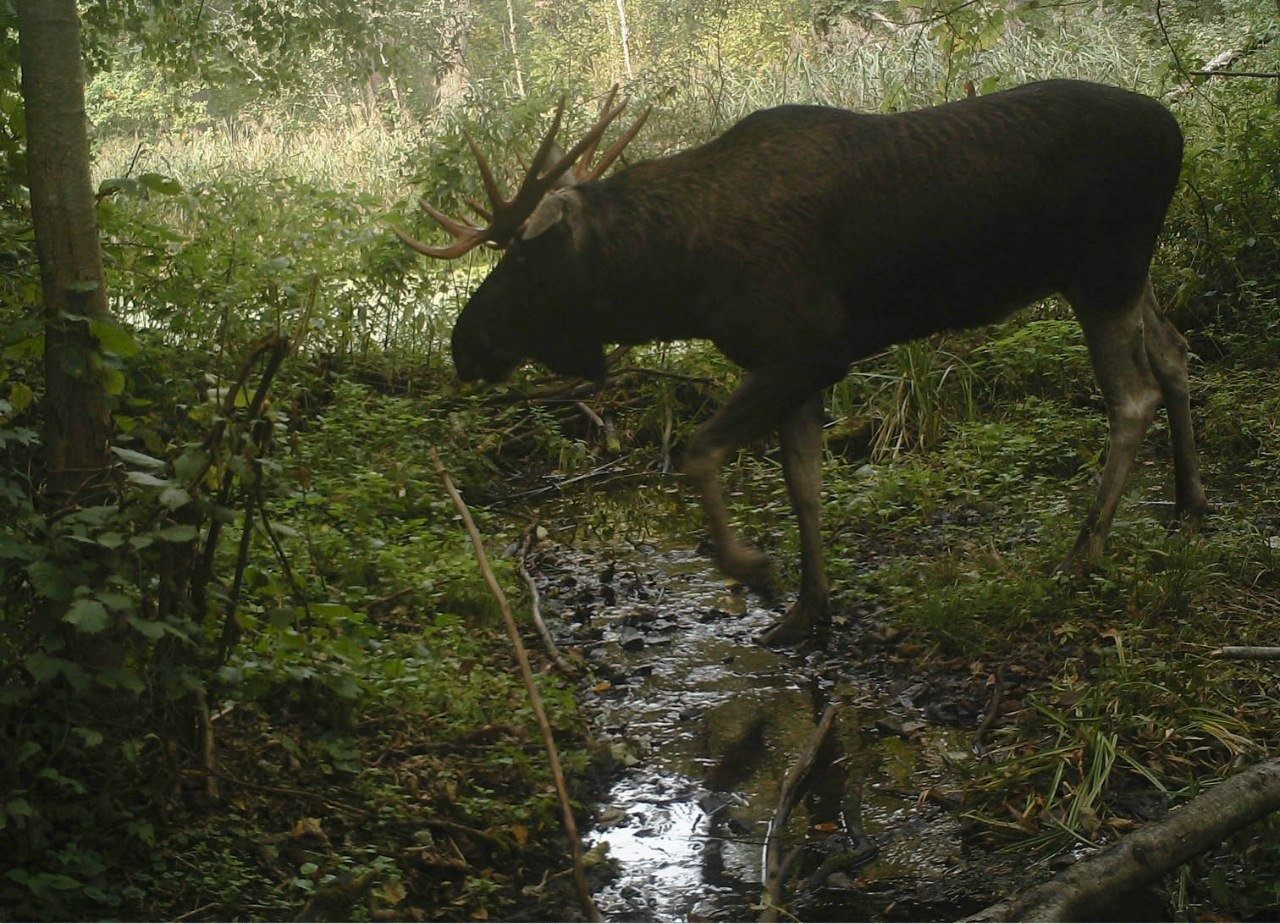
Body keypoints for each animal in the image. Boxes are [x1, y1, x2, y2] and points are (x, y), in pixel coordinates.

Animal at [399, 80, 1208, 639]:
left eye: (524, 261)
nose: (464, 345)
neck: (681, 281)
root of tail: (1176, 130)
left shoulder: (811, 347)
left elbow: (698, 451)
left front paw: (754, 570)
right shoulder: (793, 366)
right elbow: (803, 485)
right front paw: (808, 607)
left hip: (1103, 269)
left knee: (1131, 398)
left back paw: (1085, 551)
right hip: (1124, 274)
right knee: (1175, 356)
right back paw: (1189, 503)